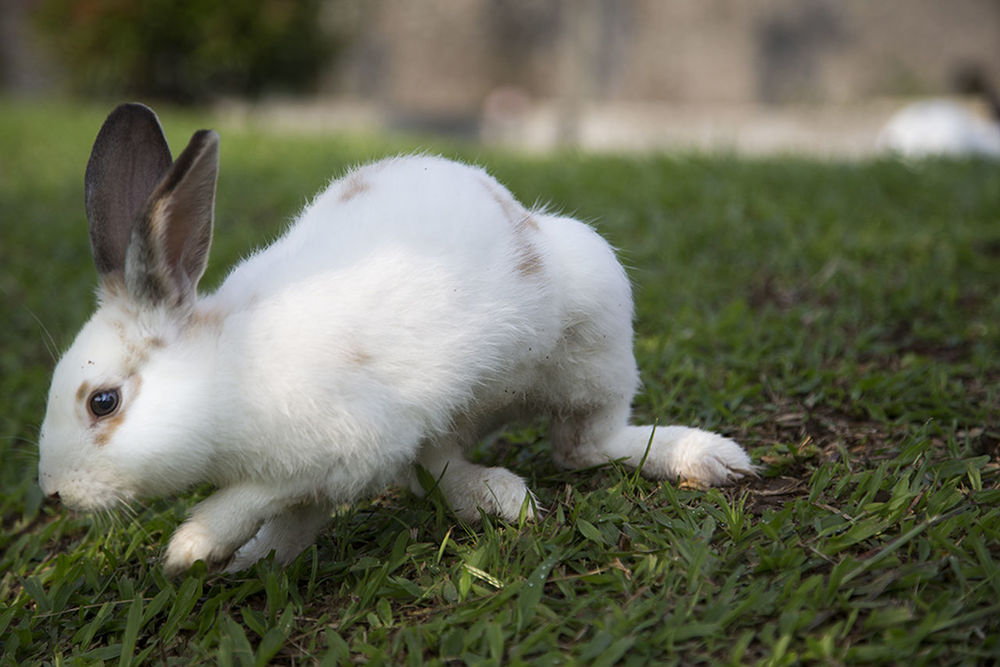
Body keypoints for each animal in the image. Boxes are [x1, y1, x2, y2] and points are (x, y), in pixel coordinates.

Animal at [39, 102, 752, 576]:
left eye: (102, 402)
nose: (53, 493)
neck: (225, 371)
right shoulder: (324, 478)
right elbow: (293, 525)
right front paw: (250, 563)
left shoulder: (346, 449)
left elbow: (251, 499)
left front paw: (193, 547)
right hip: (457, 414)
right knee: (441, 467)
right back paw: (496, 498)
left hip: (593, 350)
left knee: (587, 445)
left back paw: (708, 459)